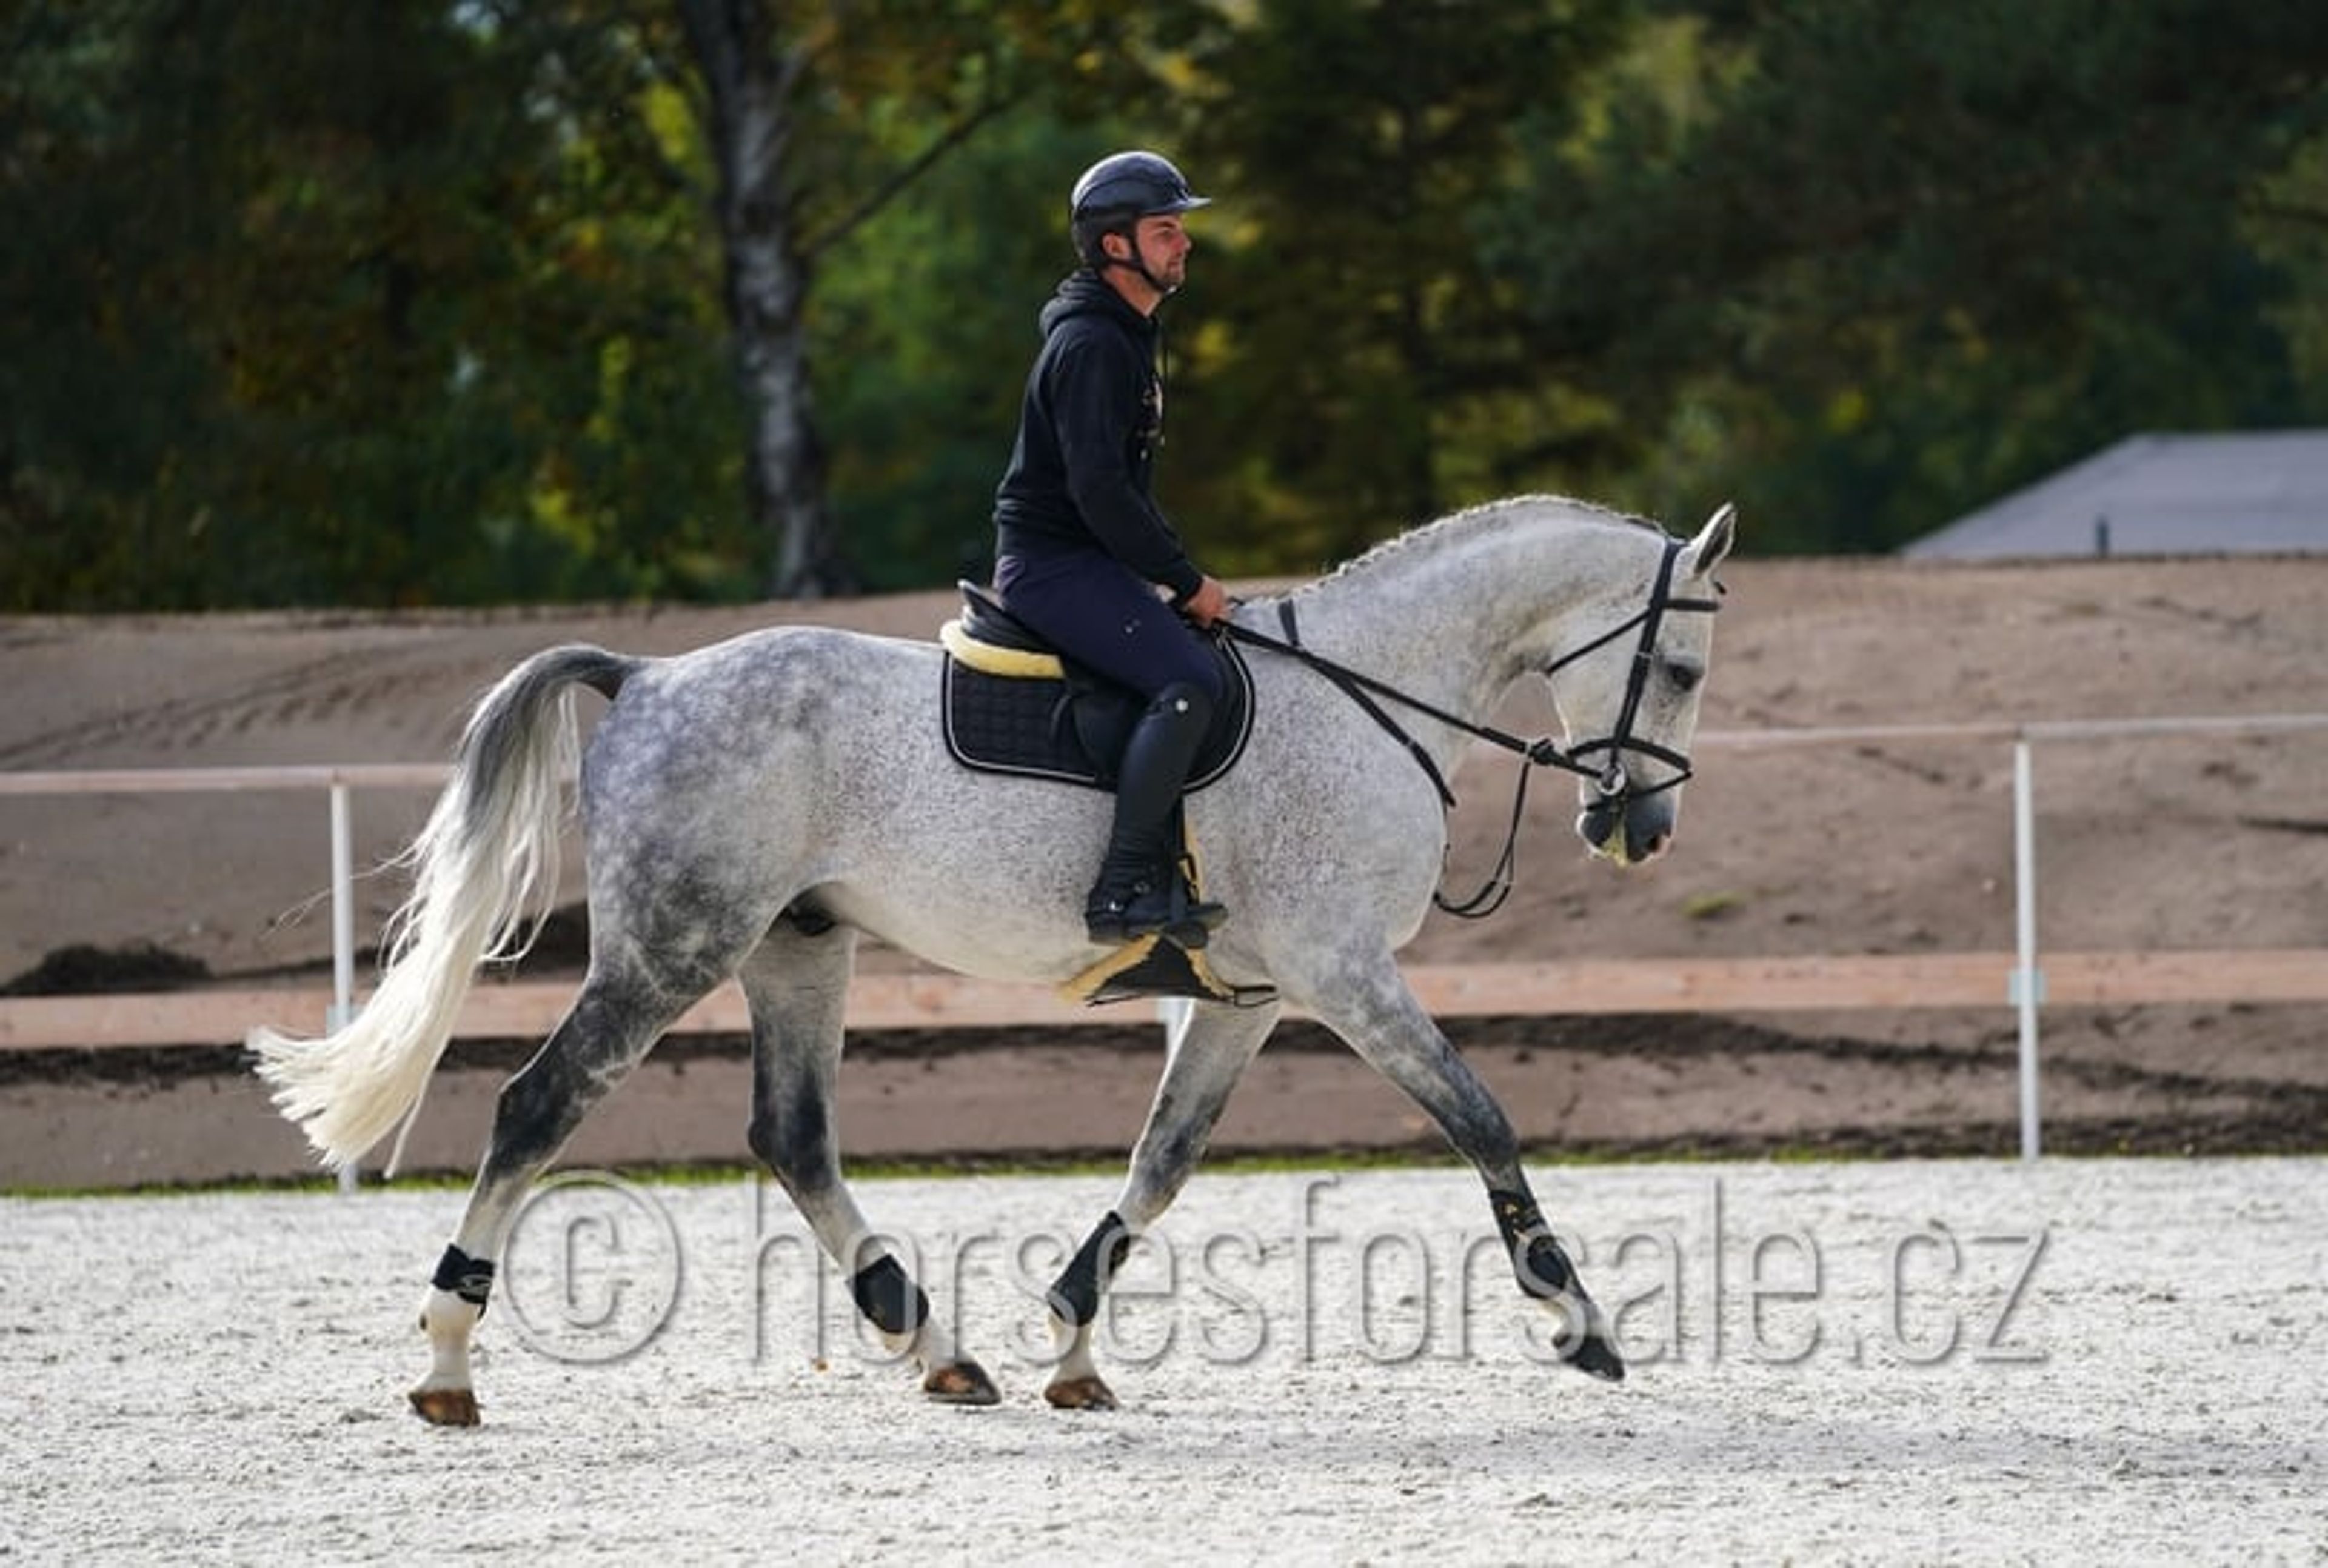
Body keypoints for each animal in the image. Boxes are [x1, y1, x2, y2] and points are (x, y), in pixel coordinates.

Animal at [252, 493, 1735, 1424]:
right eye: (1684, 669)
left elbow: (1163, 1163)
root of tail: (651, 677)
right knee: (538, 1105)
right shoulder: (1344, 974)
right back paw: (451, 1364)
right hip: (675, 946)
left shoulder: (1252, 998)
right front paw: (1580, 1323)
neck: (1370, 695)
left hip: (796, 949)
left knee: (794, 1138)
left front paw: (1071, 1341)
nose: (1642, 827)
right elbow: (1481, 1120)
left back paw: (937, 1347)